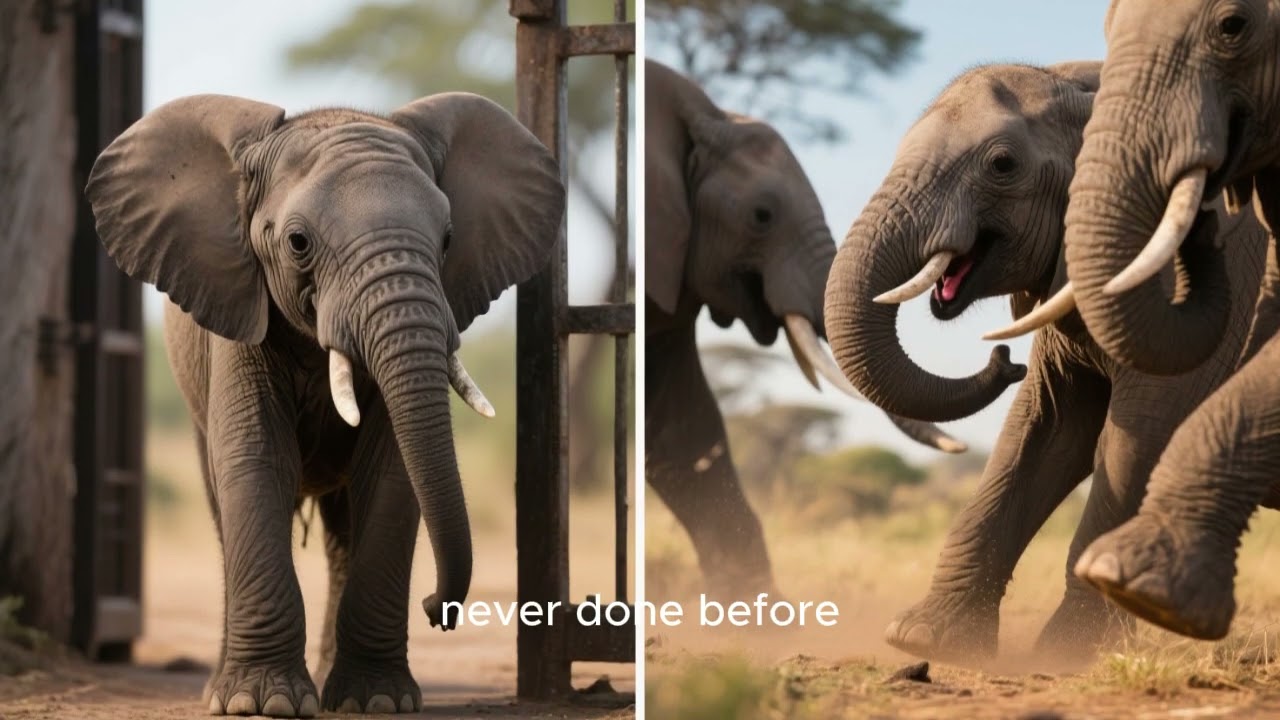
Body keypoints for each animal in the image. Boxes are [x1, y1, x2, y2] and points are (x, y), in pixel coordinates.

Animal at [85, 93, 564, 716]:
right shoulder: (239, 313)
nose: (438, 609)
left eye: (448, 240)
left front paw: (378, 700)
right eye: (298, 243)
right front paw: (261, 703)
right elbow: (258, 461)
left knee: (342, 531)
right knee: (224, 512)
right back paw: (221, 689)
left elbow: (391, 475)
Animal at [823, 61, 1271, 662]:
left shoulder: (1229, 268)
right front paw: (925, 639)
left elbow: (1145, 432)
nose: (1003, 359)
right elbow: (1045, 431)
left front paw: (1067, 655)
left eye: (1001, 165)